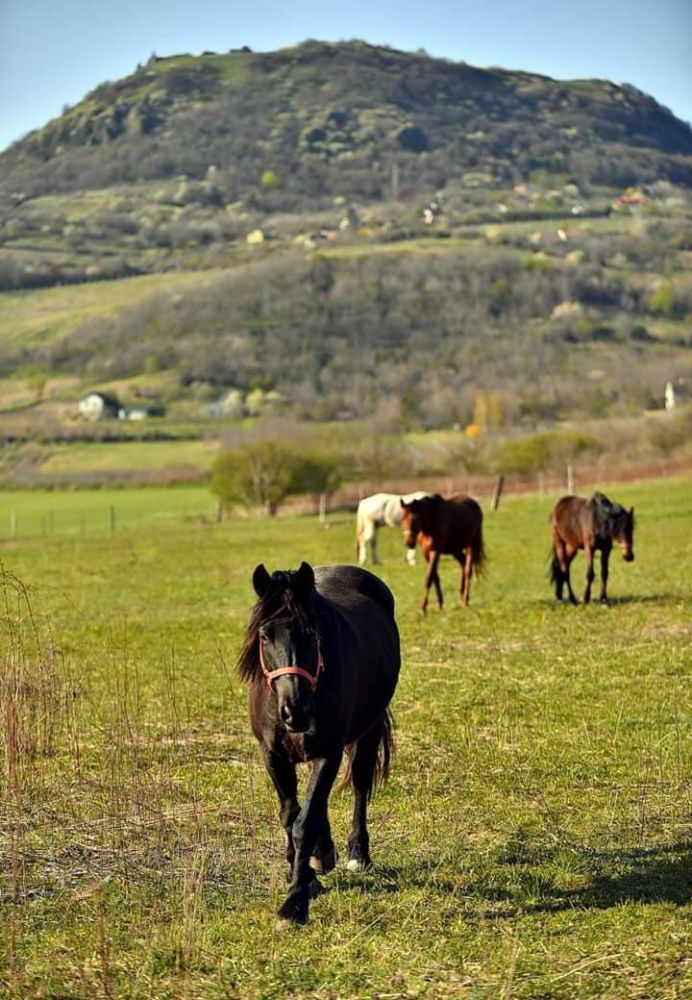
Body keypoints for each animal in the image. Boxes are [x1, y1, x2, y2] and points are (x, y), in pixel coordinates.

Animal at [237, 560, 401, 925]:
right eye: (265, 635)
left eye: (311, 633)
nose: (295, 711)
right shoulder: (273, 755)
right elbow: (291, 814)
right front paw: (305, 874)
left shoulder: (328, 752)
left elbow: (305, 821)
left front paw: (295, 901)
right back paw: (322, 854)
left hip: (368, 729)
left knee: (360, 782)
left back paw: (357, 855)